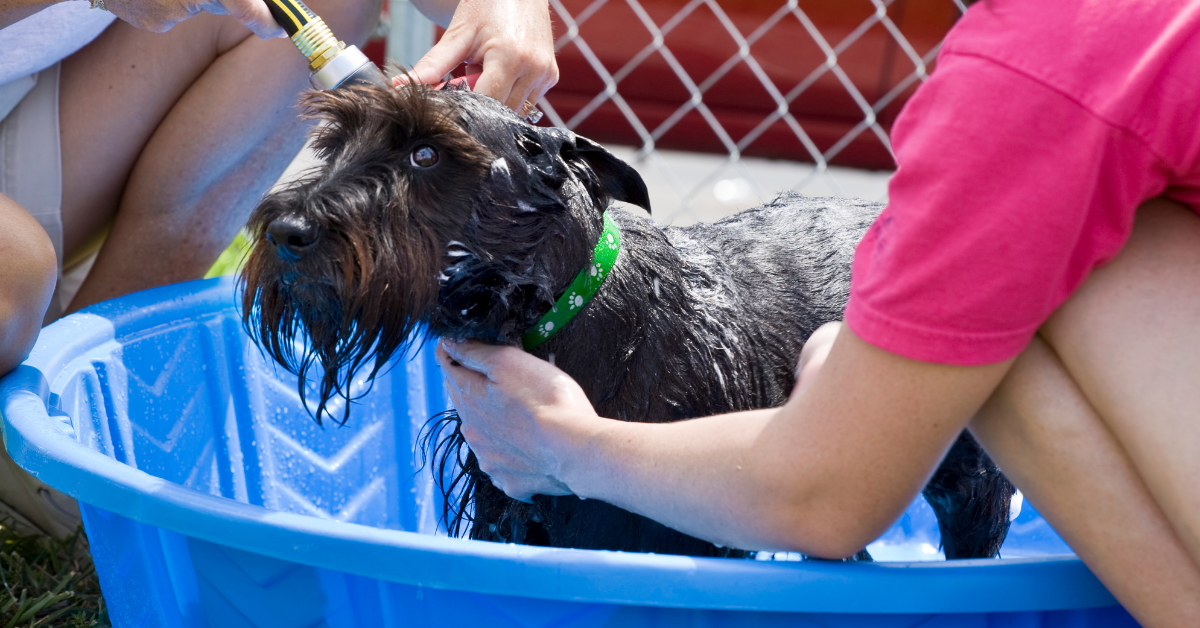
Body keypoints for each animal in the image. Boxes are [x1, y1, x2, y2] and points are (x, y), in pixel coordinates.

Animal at [241, 82, 1012, 559]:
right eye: (333, 141)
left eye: (426, 151)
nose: (286, 232)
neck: (556, 323)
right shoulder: (506, 515)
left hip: (967, 488)